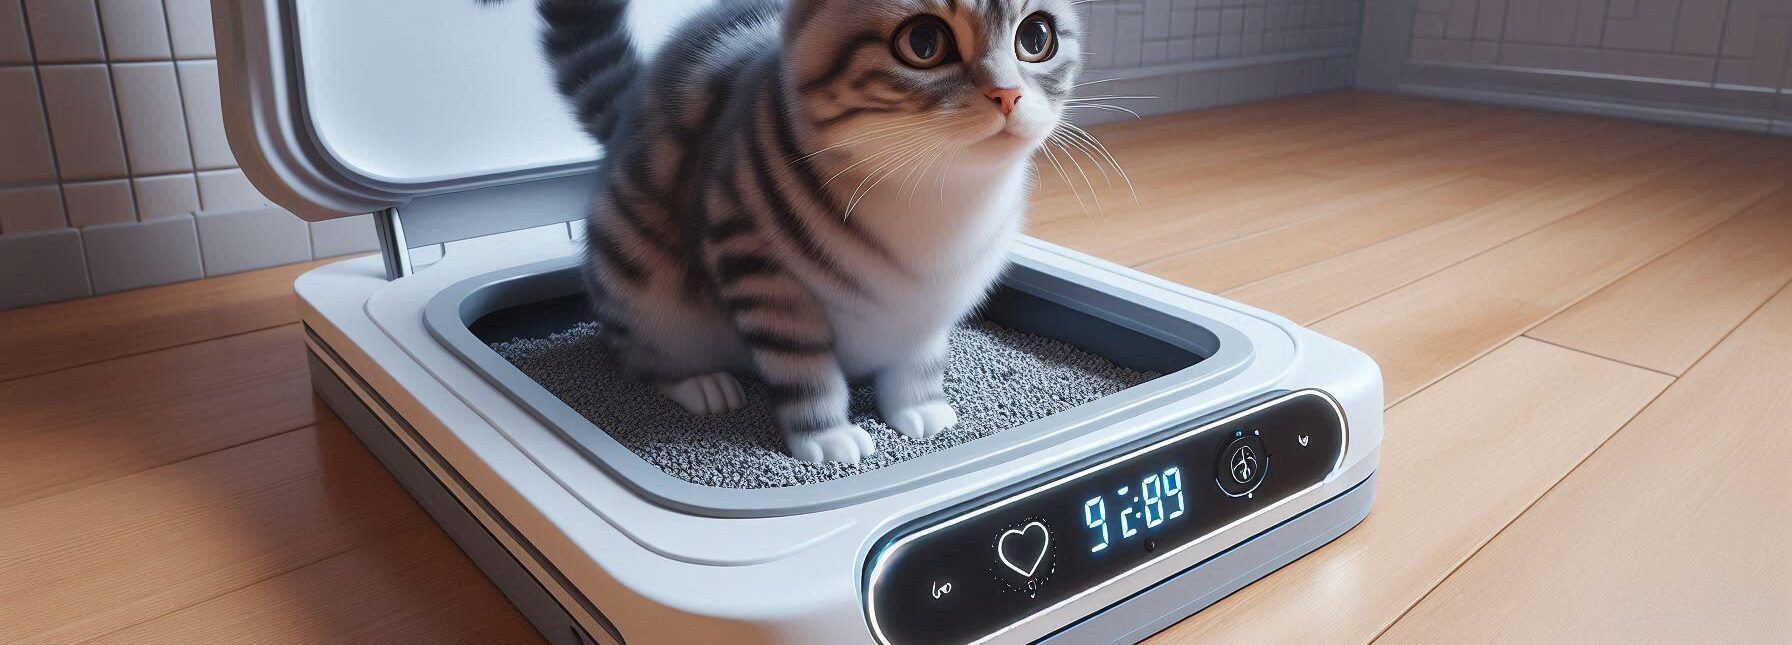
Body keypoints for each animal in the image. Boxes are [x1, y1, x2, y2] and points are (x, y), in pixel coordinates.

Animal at [526, 0, 1075, 462]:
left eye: (1036, 36)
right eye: (923, 42)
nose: (1008, 93)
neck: (940, 195)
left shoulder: (930, 304)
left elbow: (917, 360)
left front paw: (917, 408)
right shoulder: (756, 264)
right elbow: (804, 370)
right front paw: (828, 436)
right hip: (641, 281)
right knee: (634, 355)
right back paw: (700, 382)